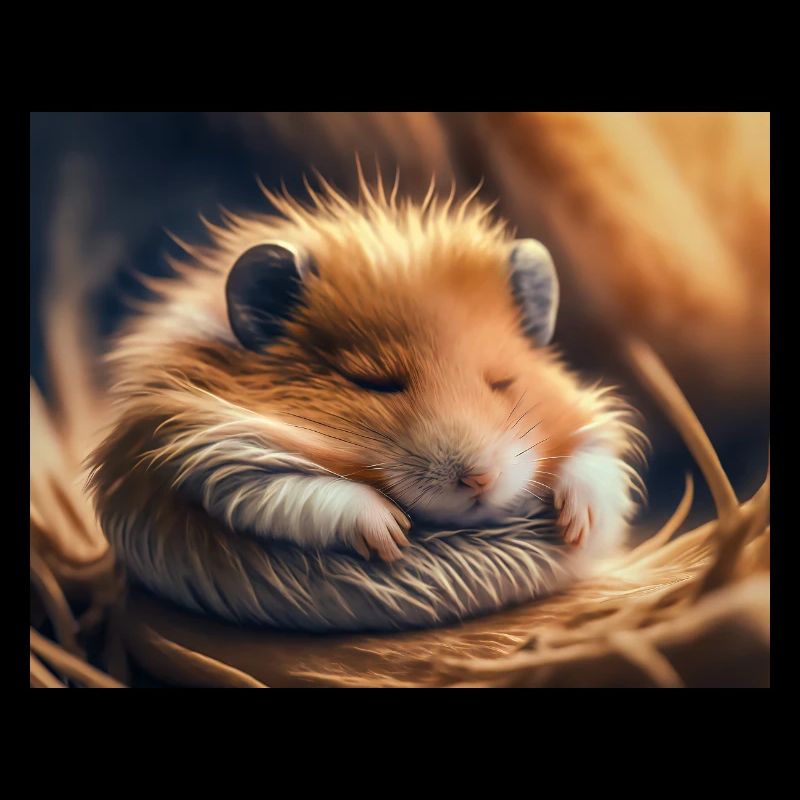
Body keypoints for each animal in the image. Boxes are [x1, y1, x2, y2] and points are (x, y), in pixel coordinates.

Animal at [89, 173, 644, 572]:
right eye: (374, 382)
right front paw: (394, 538)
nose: (480, 480)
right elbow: (306, 490)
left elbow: (596, 466)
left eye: (502, 382)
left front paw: (576, 528)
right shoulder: (206, 447)